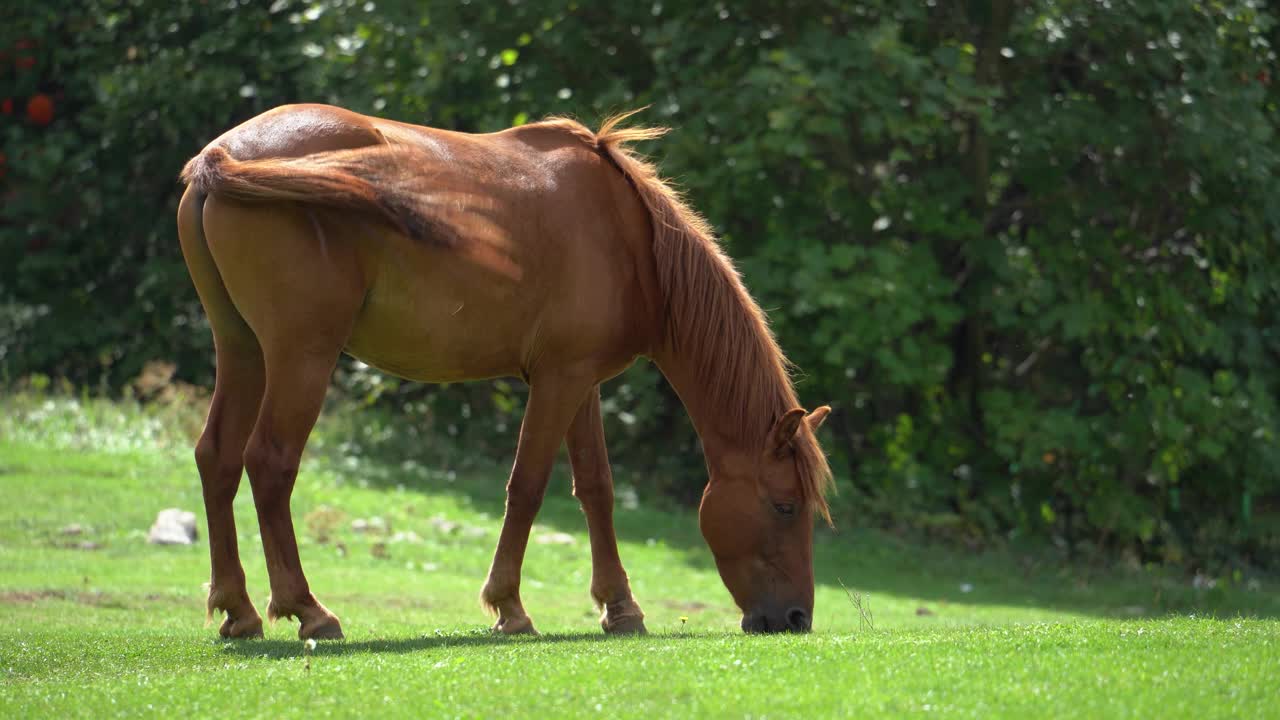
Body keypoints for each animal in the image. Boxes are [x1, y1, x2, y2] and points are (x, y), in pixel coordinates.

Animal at [180, 103, 834, 635]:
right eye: (785, 506)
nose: (795, 618)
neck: (629, 238)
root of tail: (223, 153)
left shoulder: (580, 382)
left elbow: (596, 488)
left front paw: (619, 607)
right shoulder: (557, 382)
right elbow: (527, 486)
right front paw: (510, 607)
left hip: (242, 351)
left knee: (218, 457)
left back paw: (238, 611)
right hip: (302, 357)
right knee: (270, 463)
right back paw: (308, 610)